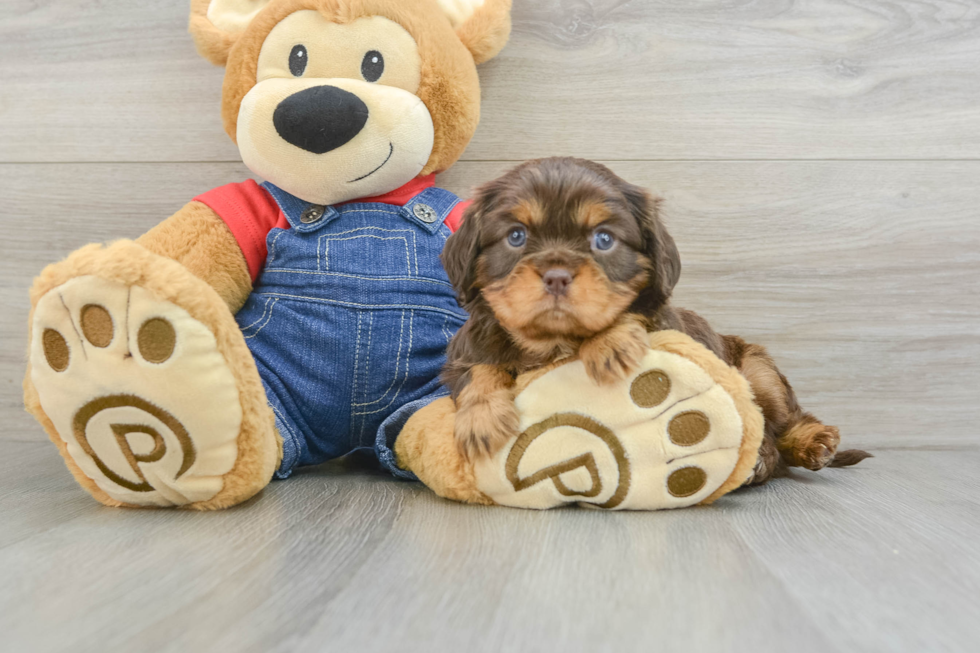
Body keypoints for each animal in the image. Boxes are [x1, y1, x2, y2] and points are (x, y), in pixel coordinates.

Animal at [440, 157, 868, 484]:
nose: (557, 276)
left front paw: (609, 343)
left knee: (781, 420)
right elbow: (478, 369)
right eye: (516, 236)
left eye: (604, 240)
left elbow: (633, 314)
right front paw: (481, 418)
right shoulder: (464, 350)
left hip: (758, 369)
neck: (554, 342)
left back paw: (810, 443)